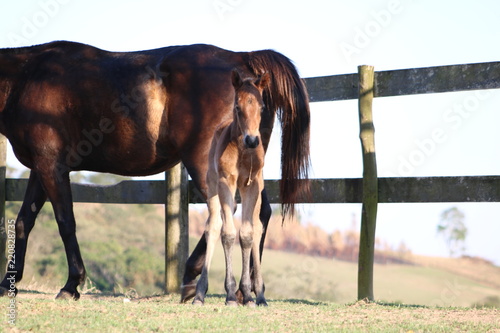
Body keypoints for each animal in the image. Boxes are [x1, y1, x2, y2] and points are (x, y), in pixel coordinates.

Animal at [0, 40, 308, 300]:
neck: (27, 77)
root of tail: (242, 58)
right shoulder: (41, 167)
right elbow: (24, 221)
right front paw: (8, 282)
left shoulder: (51, 165)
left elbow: (65, 222)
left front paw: (71, 284)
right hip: (248, 169)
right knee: (259, 213)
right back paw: (250, 288)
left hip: (208, 165)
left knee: (223, 214)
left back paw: (195, 279)